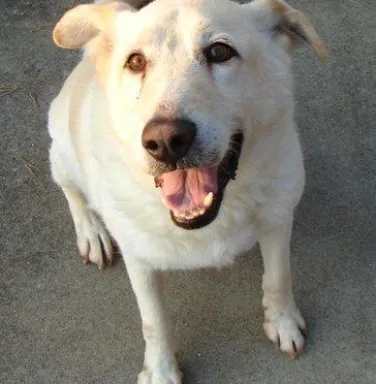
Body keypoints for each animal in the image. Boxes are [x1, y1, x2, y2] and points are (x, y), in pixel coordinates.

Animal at [49, 0, 326, 380]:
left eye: (220, 52)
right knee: (70, 189)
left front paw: (282, 321)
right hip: (61, 148)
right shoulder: (139, 259)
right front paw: (161, 370)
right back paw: (92, 232)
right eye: (135, 61)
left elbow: (279, 277)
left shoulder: (278, 220)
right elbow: (154, 322)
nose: (166, 141)